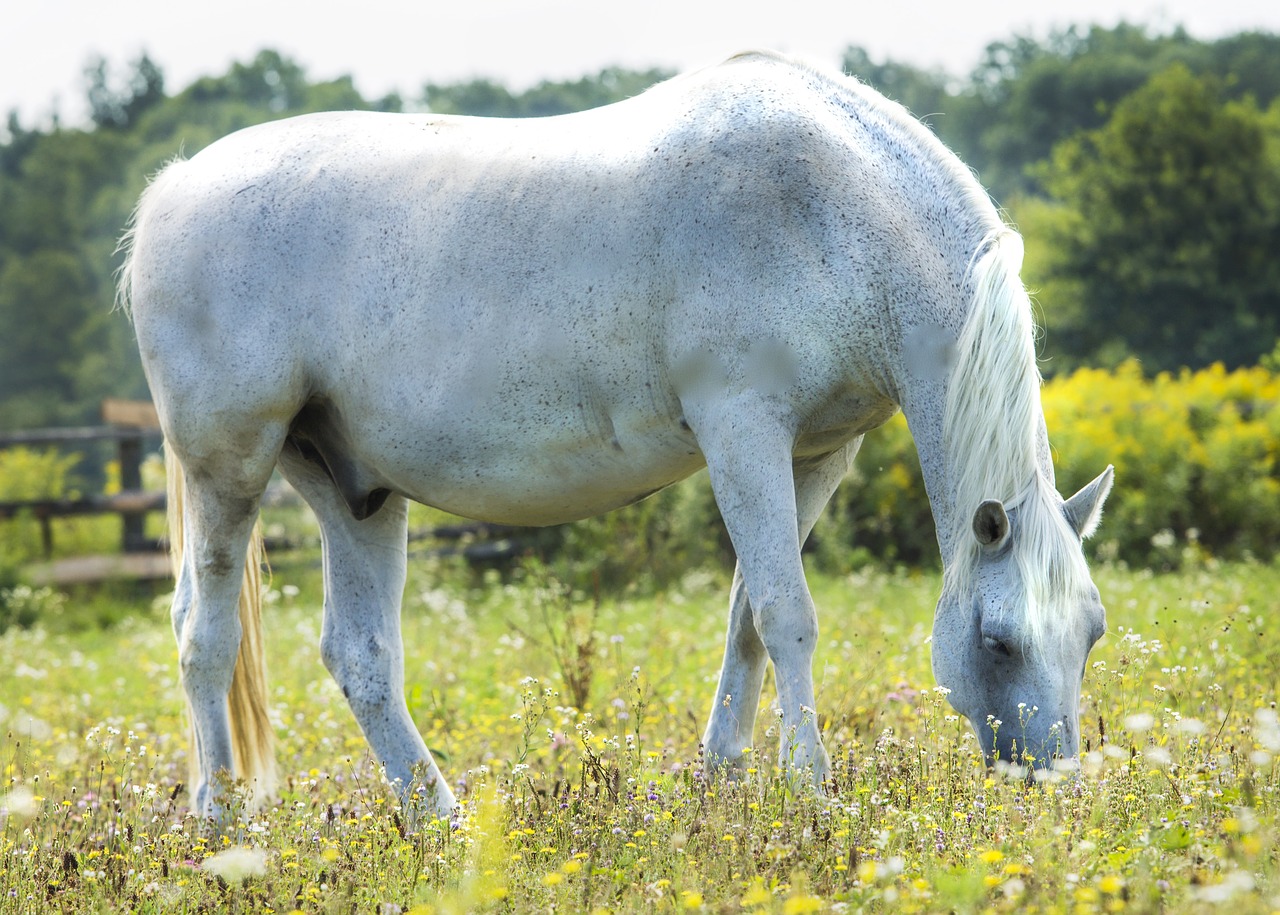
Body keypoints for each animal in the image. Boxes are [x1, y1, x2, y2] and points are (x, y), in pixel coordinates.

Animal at [117, 50, 1111, 824]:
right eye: (999, 642)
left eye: (1092, 632)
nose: (1055, 792)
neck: (832, 205)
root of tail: (171, 188)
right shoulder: (741, 431)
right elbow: (787, 615)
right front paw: (811, 791)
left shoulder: (815, 456)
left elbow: (745, 622)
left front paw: (724, 782)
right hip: (229, 469)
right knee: (203, 634)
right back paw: (222, 824)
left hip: (355, 491)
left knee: (359, 658)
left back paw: (442, 821)